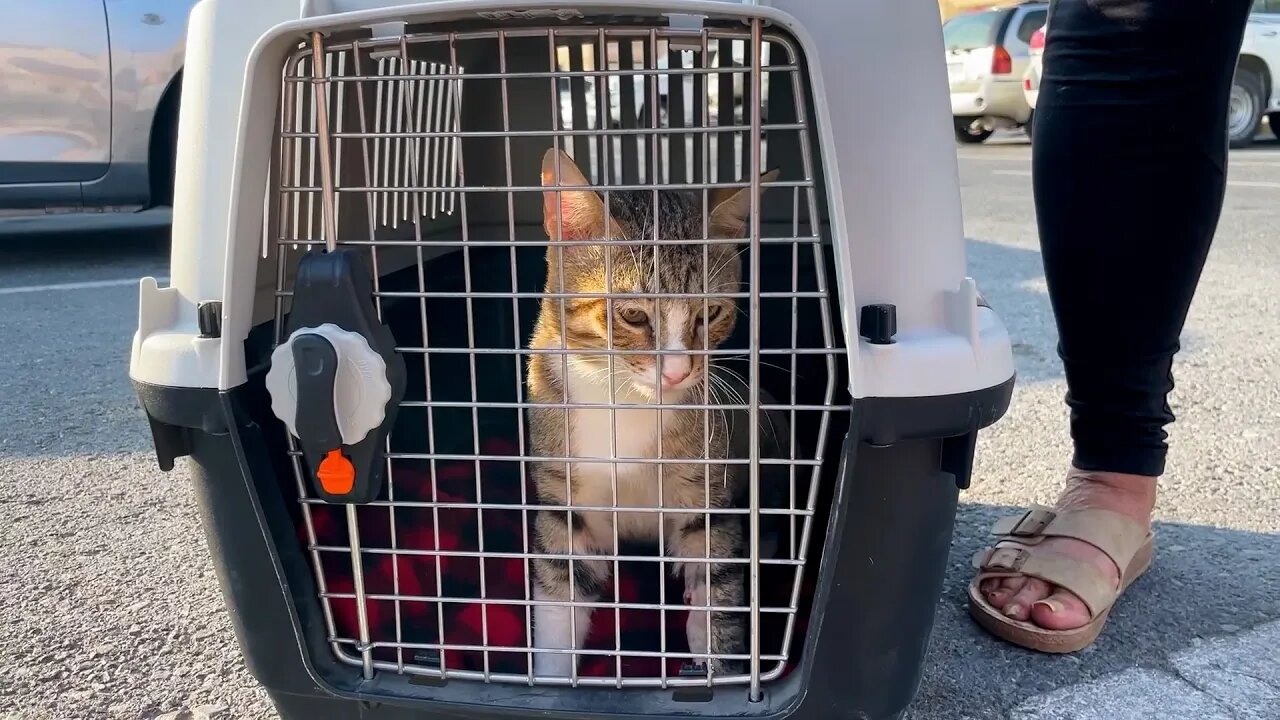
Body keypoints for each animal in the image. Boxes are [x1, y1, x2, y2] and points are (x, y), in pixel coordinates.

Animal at [522, 148, 783, 676]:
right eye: (633, 315)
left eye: (710, 313)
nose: (679, 373)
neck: (624, 399)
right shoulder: (564, 494)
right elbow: (561, 589)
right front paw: (552, 677)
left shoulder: (707, 490)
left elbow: (718, 580)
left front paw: (718, 664)